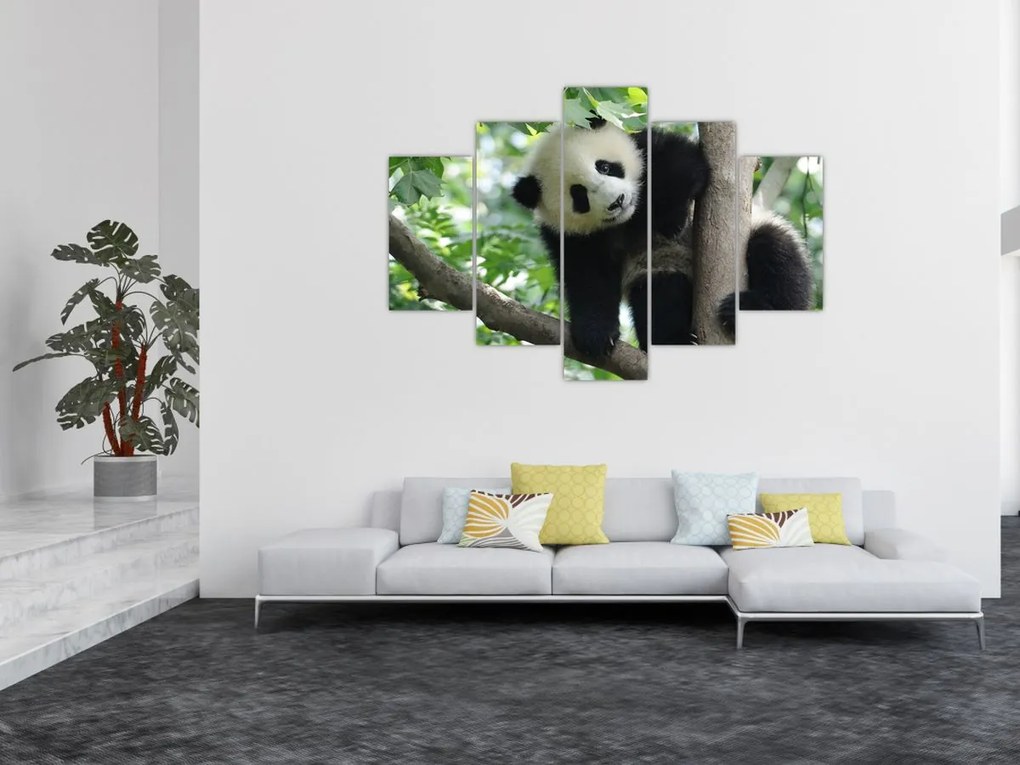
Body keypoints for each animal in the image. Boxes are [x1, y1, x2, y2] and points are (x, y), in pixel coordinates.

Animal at [511, 119, 813, 357]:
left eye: (605, 167)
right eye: (579, 194)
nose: (617, 201)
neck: (630, 218)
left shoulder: (646, 146)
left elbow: (684, 162)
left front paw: (671, 220)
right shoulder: (570, 235)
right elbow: (588, 277)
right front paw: (595, 334)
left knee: (776, 257)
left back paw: (749, 308)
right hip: (661, 269)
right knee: (660, 297)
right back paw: (676, 341)